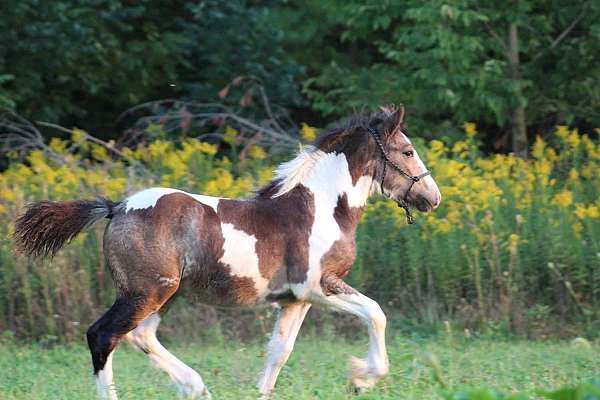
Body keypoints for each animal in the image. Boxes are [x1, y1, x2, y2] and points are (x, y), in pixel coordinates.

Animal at [12, 104, 440, 398]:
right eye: (406, 151)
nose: (432, 197)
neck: (320, 208)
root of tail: (117, 207)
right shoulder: (318, 286)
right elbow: (376, 314)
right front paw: (360, 378)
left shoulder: (295, 300)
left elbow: (278, 353)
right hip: (147, 291)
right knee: (103, 336)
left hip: (165, 294)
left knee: (140, 336)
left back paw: (196, 386)